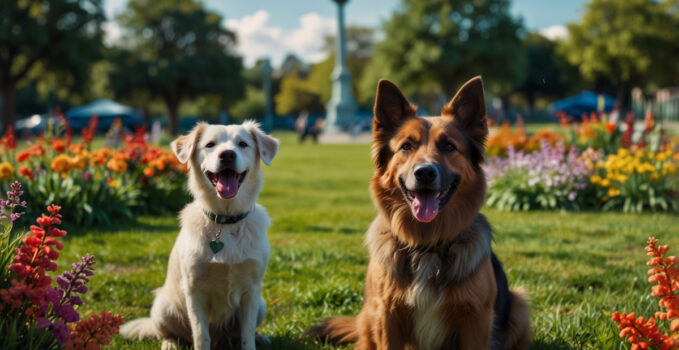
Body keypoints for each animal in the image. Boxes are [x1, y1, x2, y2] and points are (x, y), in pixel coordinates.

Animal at [121, 121, 280, 350]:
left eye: (242, 144)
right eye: (210, 144)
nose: (228, 155)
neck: (224, 220)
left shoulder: (251, 289)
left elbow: (246, 334)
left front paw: (252, 340)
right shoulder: (194, 289)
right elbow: (200, 334)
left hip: (261, 304)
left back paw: (260, 337)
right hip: (162, 306)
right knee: (167, 333)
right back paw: (170, 343)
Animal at [310, 77, 532, 350]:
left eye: (449, 146)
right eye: (406, 146)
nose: (424, 172)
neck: (426, 244)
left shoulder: (476, 318)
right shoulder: (387, 315)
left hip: (519, 305)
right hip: (369, 315)